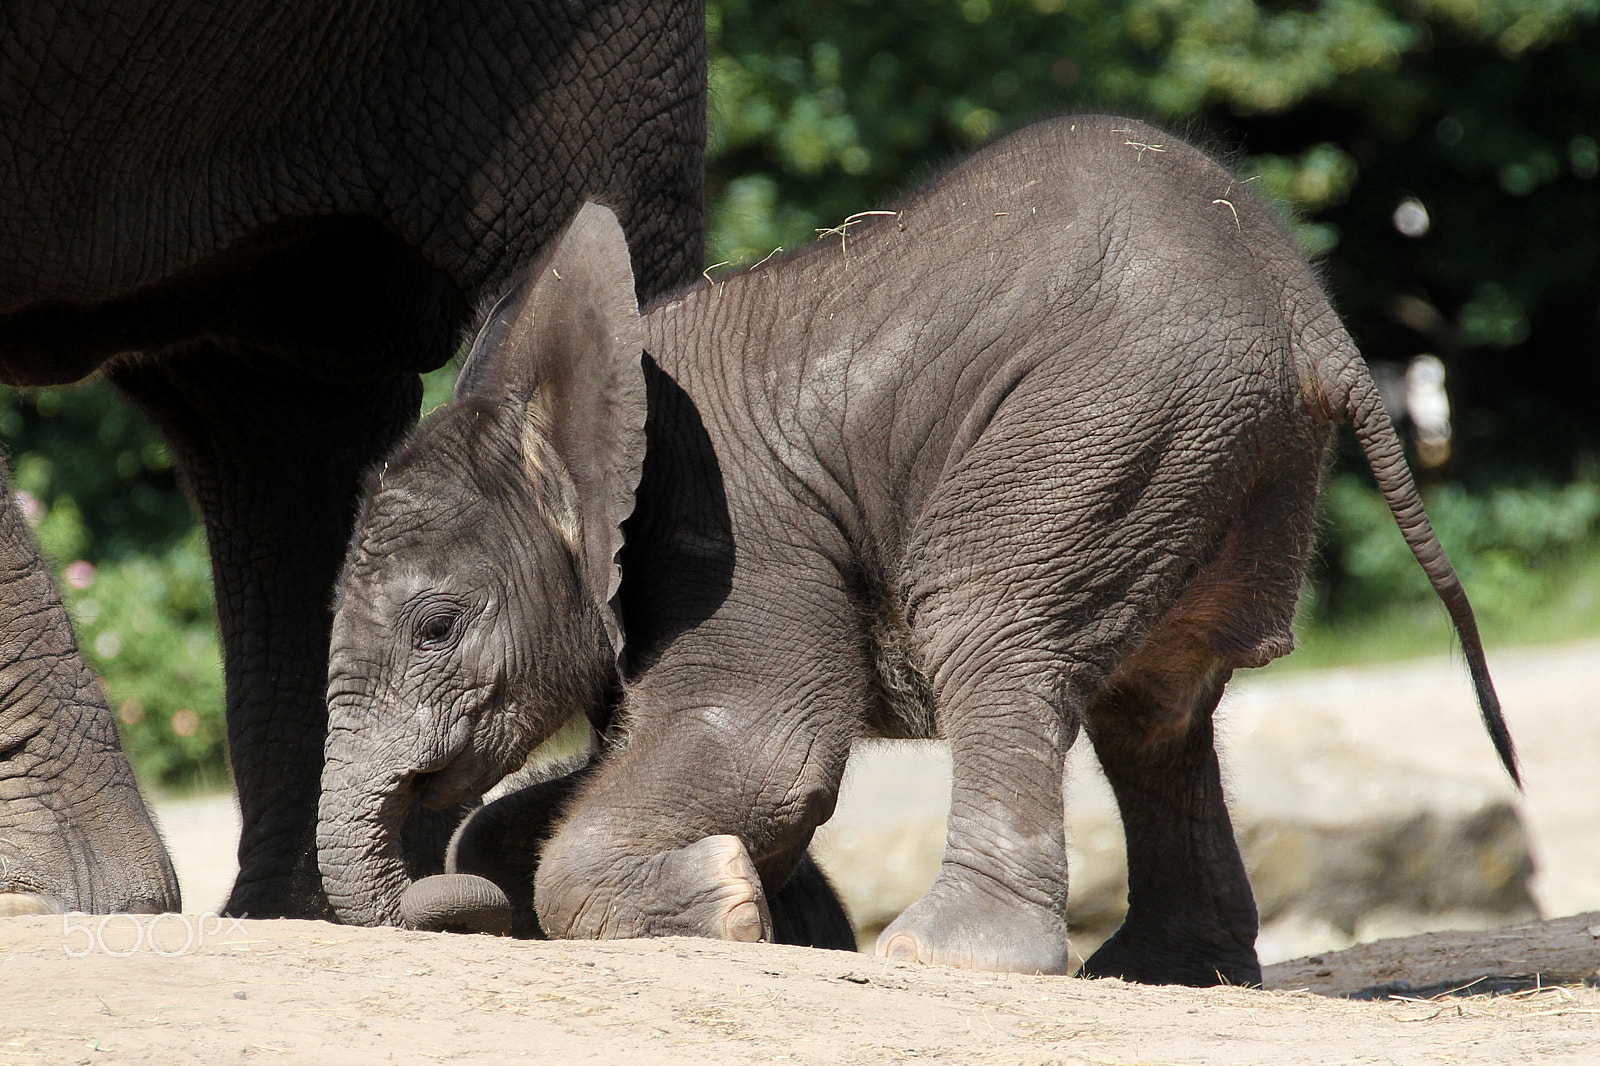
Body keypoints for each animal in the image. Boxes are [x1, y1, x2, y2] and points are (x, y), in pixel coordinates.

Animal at [318, 112, 1516, 985]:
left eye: (436, 627)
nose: (435, 908)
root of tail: (1313, 319)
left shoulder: (733, 529)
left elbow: (760, 745)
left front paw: (725, 904)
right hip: (1203, 453)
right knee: (1155, 708)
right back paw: (1163, 973)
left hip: (1104, 425)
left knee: (990, 627)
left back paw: (946, 956)